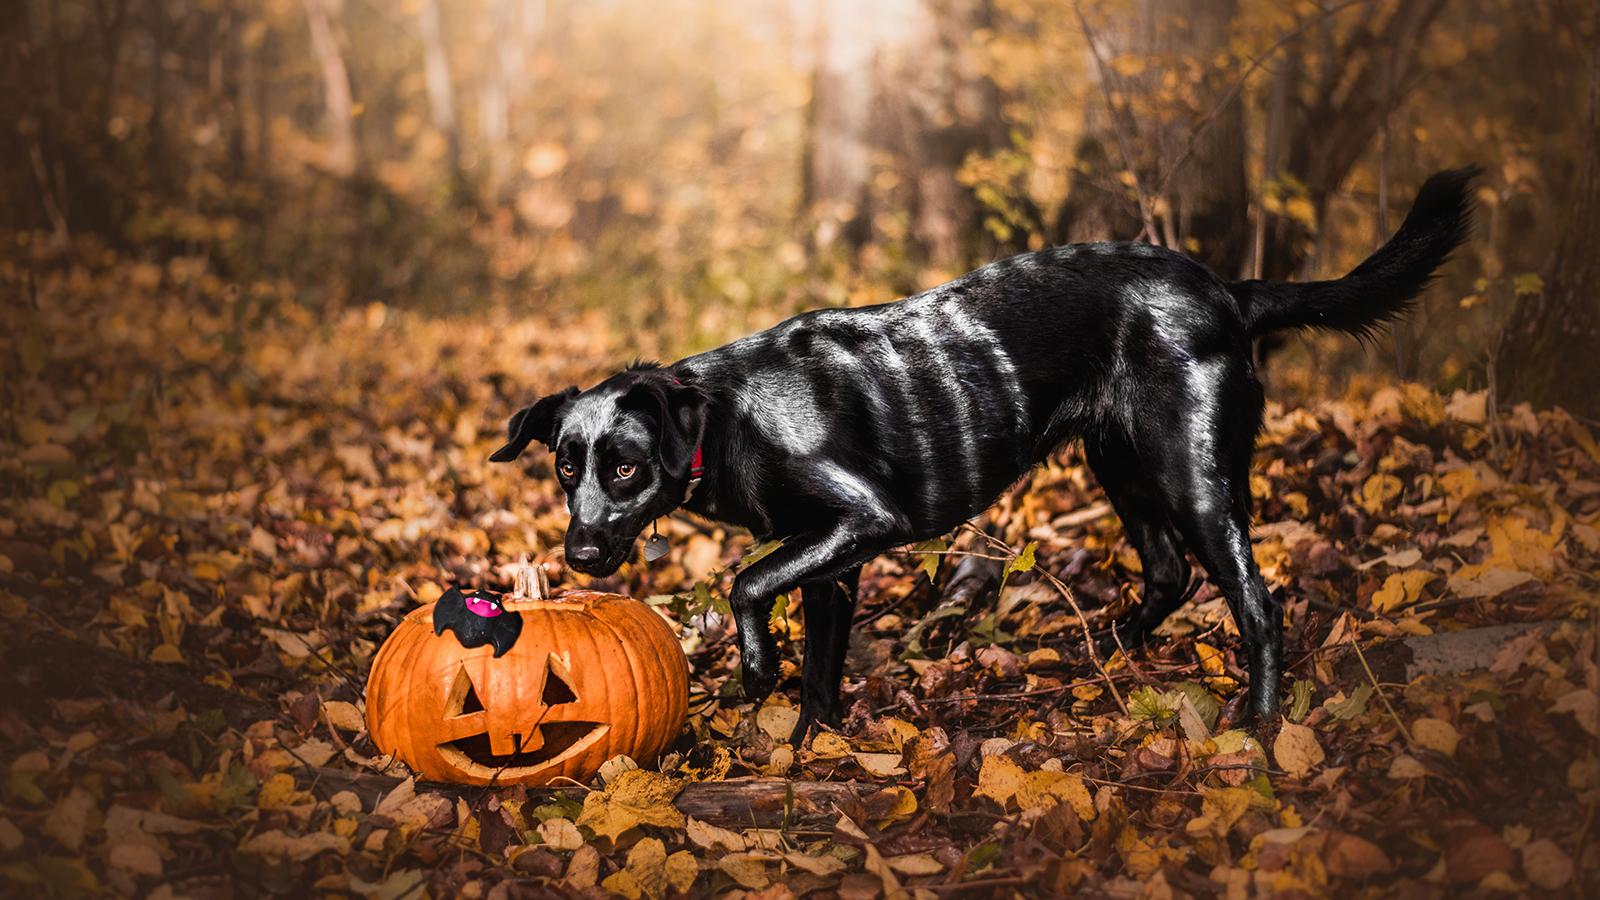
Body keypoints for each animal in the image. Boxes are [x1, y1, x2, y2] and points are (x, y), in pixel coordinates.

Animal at [489, 166, 1472, 736]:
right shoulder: (836, 562)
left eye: (623, 464)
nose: (578, 555)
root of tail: (1226, 290)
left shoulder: (863, 522)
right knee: (1167, 575)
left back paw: (1259, 727)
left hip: (1193, 474)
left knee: (1258, 605)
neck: (733, 417)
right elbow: (820, 674)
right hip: (1119, 464)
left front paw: (755, 670)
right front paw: (813, 753)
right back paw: (1100, 658)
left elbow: (746, 583)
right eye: (565, 466)